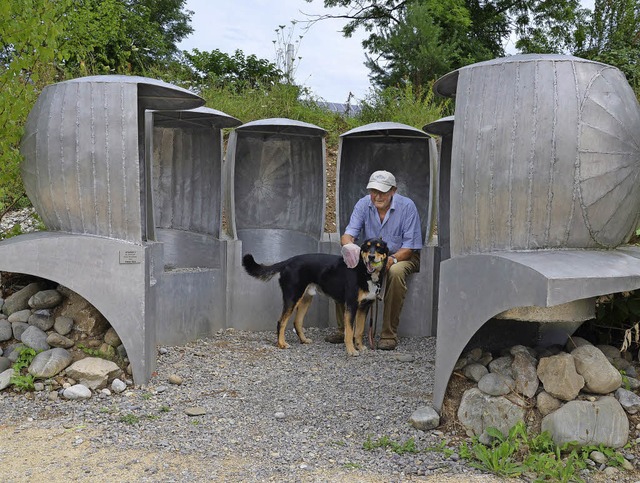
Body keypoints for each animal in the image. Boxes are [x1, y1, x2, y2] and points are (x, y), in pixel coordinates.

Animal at [241, 238, 388, 356]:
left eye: (379, 247)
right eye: (367, 247)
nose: (371, 257)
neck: (365, 272)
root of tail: (288, 261)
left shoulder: (364, 307)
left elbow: (359, 331)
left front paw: (360, 347)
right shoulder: (351, 306)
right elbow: (350, 331)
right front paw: (351, 350)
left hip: (305, 298)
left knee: (297, 322)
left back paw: (303, 340)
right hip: (292, 297)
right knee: (281, 321)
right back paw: (282, 344)